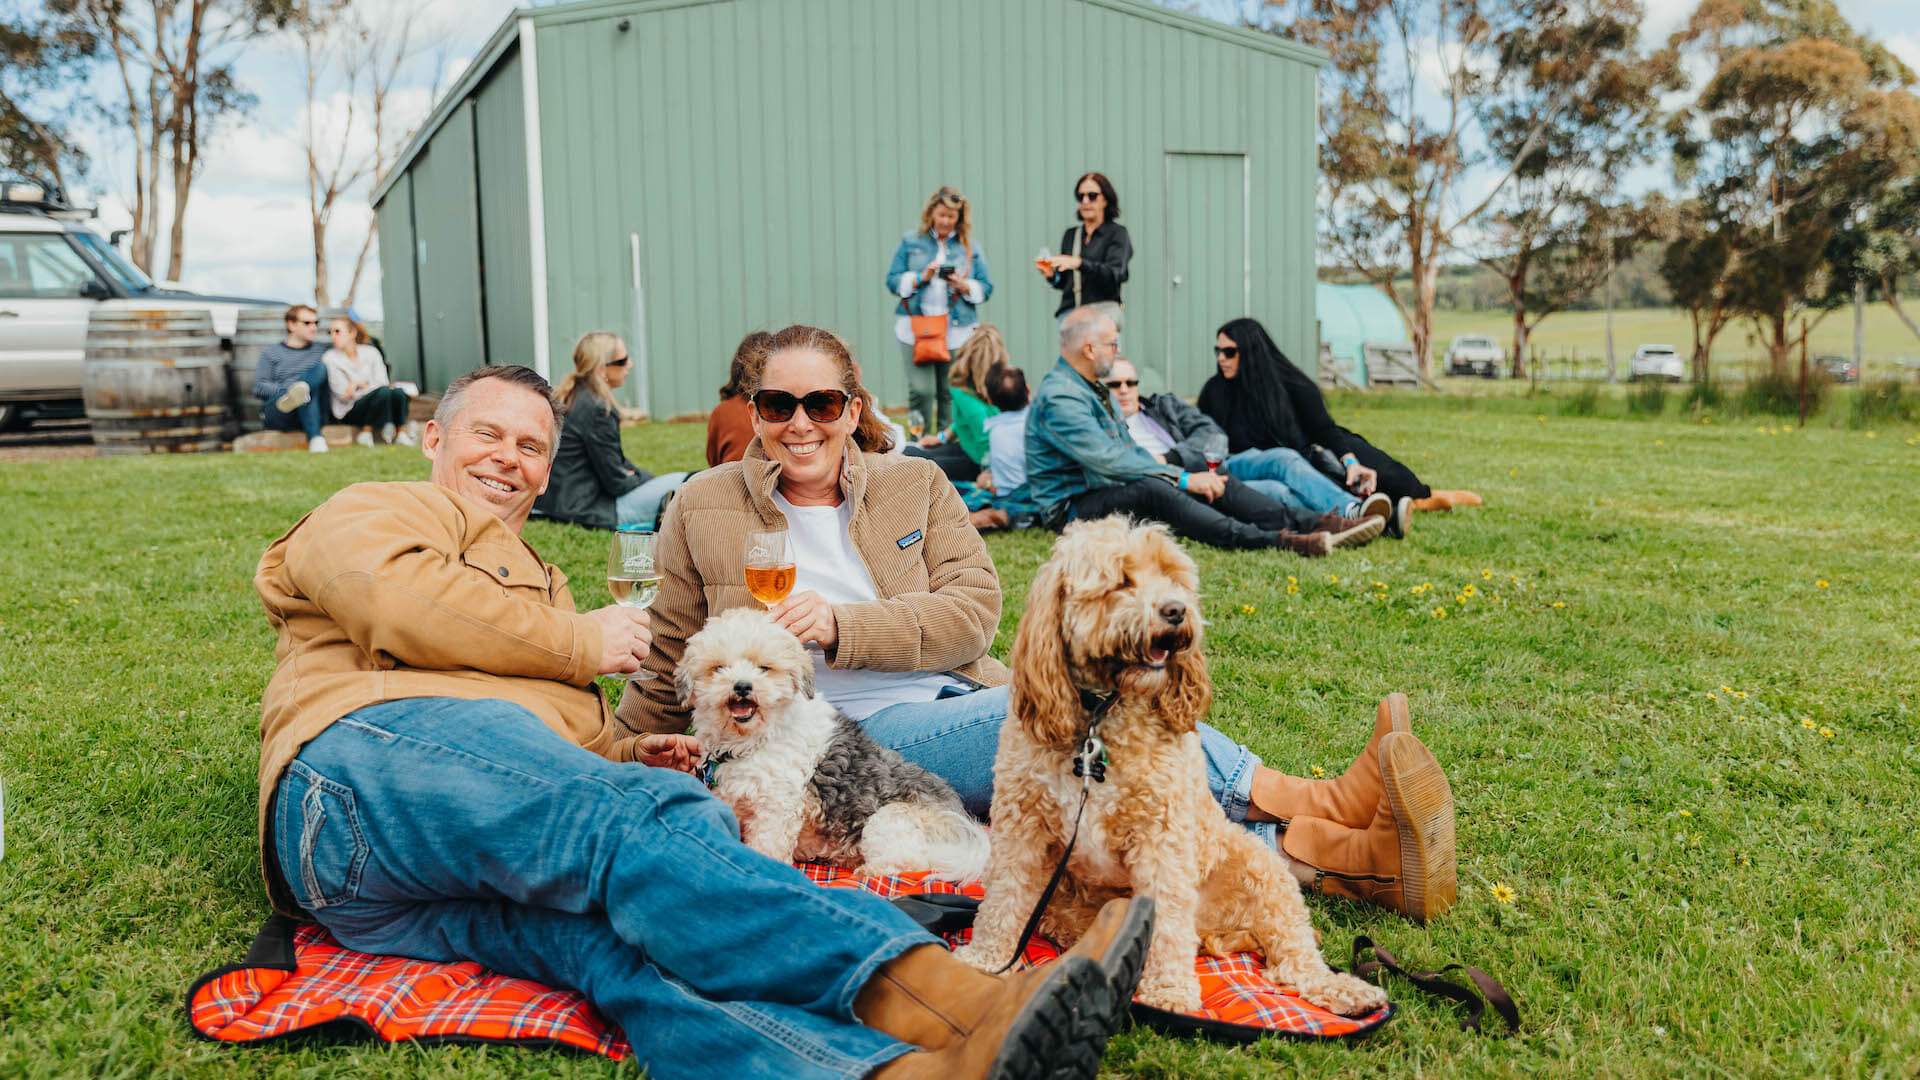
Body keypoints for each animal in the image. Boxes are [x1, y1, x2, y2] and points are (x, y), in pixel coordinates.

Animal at [675, 607, 990, 876]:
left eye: (764, 668)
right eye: (718, 668)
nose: (742, 686)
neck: (753, 740)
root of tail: (967, 833)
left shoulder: (776, 808)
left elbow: (767, 846)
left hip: (887, 820)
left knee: (909, 864)